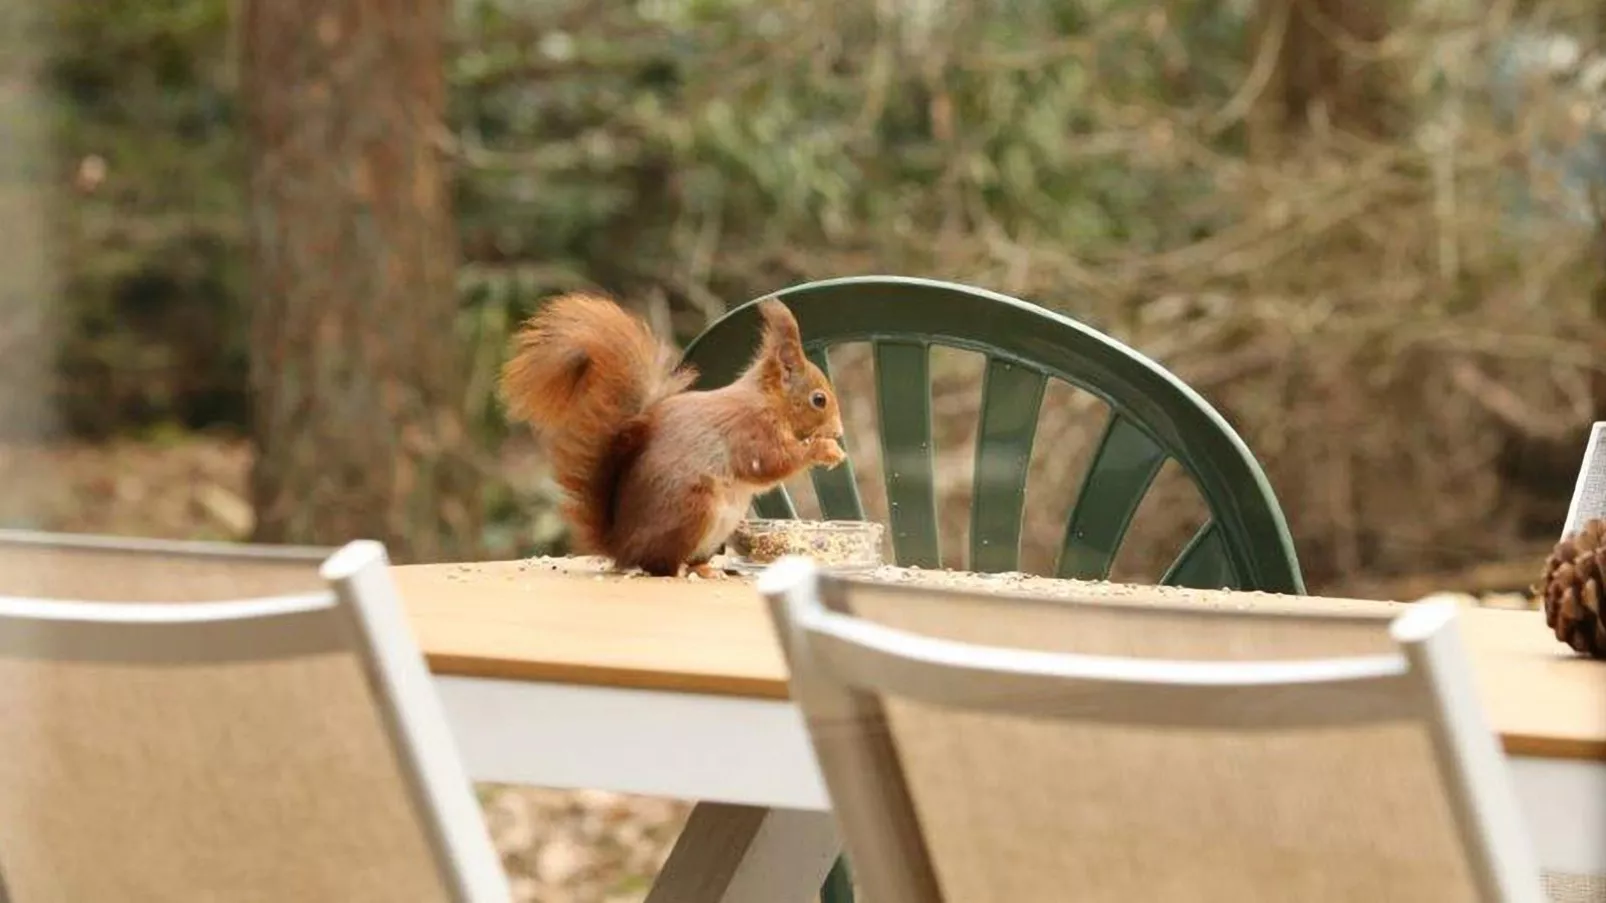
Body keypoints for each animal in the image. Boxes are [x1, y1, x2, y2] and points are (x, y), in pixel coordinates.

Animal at [497, 292, 854, 578]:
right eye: (819, 399)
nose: (838, 431)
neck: (769, 401)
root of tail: (620, 545)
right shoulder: (750, 431)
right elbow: (771, 464)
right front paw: (824, 450)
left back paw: (709, 569)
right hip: (692, 508)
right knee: (660, 565)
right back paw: (685, 571)